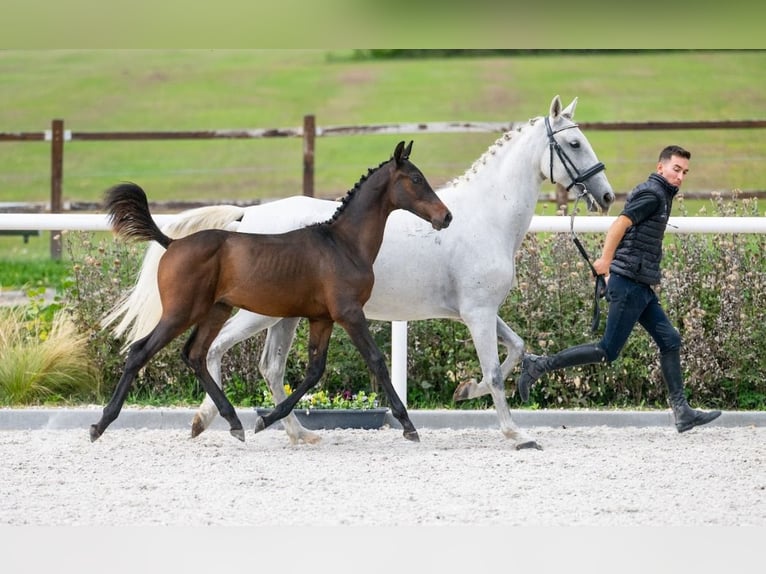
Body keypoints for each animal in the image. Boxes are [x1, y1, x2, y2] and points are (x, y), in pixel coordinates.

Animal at [105, 95, 616, 454]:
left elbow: (517, 349)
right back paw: (217, 420)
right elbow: (494, 370)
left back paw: (287, 431)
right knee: (216, 353)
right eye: (573, 143)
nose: (608, 196)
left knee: (267, 366)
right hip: (256, 313)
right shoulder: (477, 311)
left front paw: (464, 390)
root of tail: (244, 219)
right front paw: (515, 433)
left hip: (283, 317)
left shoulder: (477, 311)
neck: (487, 216)